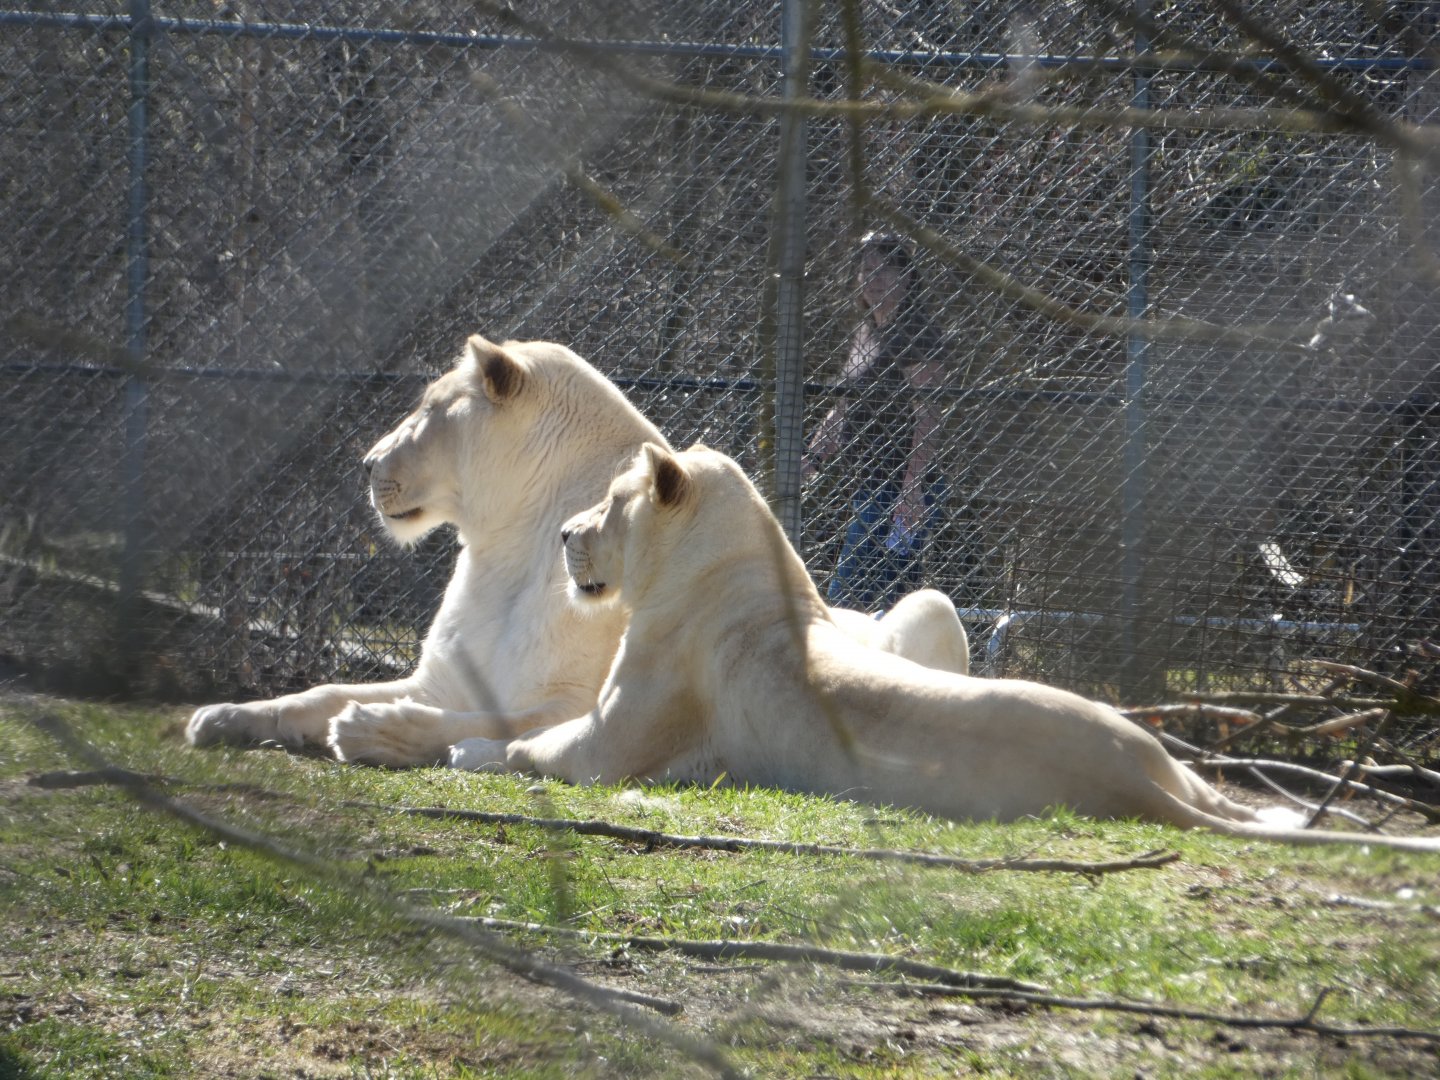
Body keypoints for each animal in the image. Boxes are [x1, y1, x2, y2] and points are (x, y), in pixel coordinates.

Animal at [186, 336, 968, 766]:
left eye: (432, 408)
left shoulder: (574, 699)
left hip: (929, 603)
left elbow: (494, 721)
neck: (505, 551)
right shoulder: (441, 679)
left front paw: (373, 728)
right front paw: (220, 717)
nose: (367, 462)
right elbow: (322, 690)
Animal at [448, 443, 1440, 853]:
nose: (566, 535)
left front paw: (465, 750)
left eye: (612, 505)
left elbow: (531, 746)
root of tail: (1139, 774)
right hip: (1170, 757)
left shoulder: (609, 749)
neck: (736, 564)